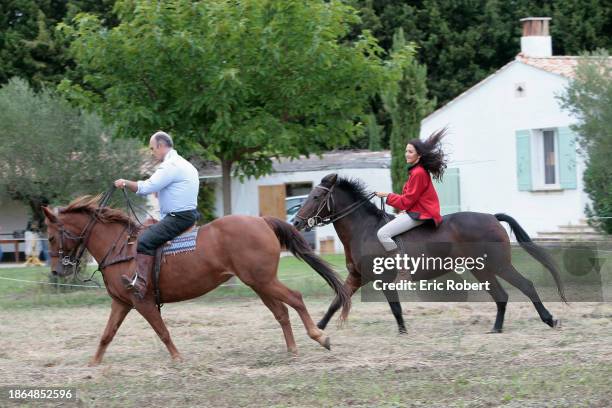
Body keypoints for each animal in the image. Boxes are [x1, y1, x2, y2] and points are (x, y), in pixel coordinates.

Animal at [41, 196, 350, 364]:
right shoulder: (122, 303)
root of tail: (262, 221)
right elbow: (107, 335)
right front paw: (93, 363)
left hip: (263, 281)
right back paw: (292, 349)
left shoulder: (142, 302)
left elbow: (162, 332)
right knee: (282, 312)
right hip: (259, 283)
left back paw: (319, 336)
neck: (121, 248)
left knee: (295, 299)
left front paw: (177, 358)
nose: (57, 271)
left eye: (52, 237)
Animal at [292, 174, 564, 334]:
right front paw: (317, 329)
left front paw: (403, 332)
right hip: (484, 269)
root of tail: (492, 217)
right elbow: (336, 302)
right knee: (503, 294)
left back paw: (547, 319)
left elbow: (395, 308)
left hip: (495, 266)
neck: (363, 229)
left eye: (316, 196)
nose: (296, 222)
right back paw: (499, 328)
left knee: (523, 287)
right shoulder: (356, 277)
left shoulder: (383, 280)